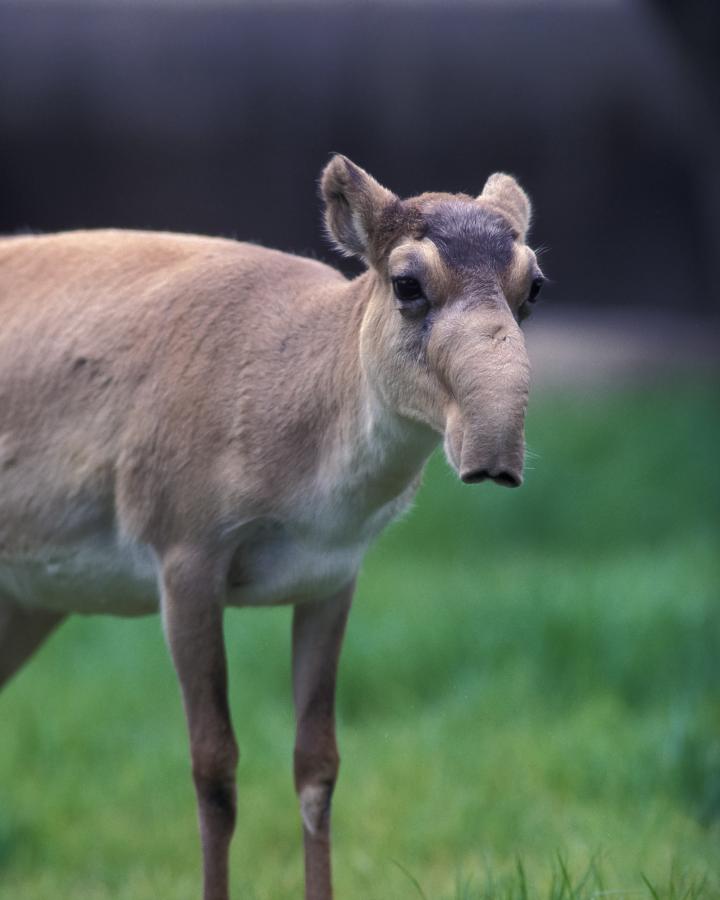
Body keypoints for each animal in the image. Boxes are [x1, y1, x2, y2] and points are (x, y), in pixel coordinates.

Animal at [0, 156, 544, 900]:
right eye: (407, 283)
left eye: (534, 287)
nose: (494, 458)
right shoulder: (185, 560)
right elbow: (213, 768)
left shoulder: (332, 579)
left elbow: (317, 764)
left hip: (25, 605)